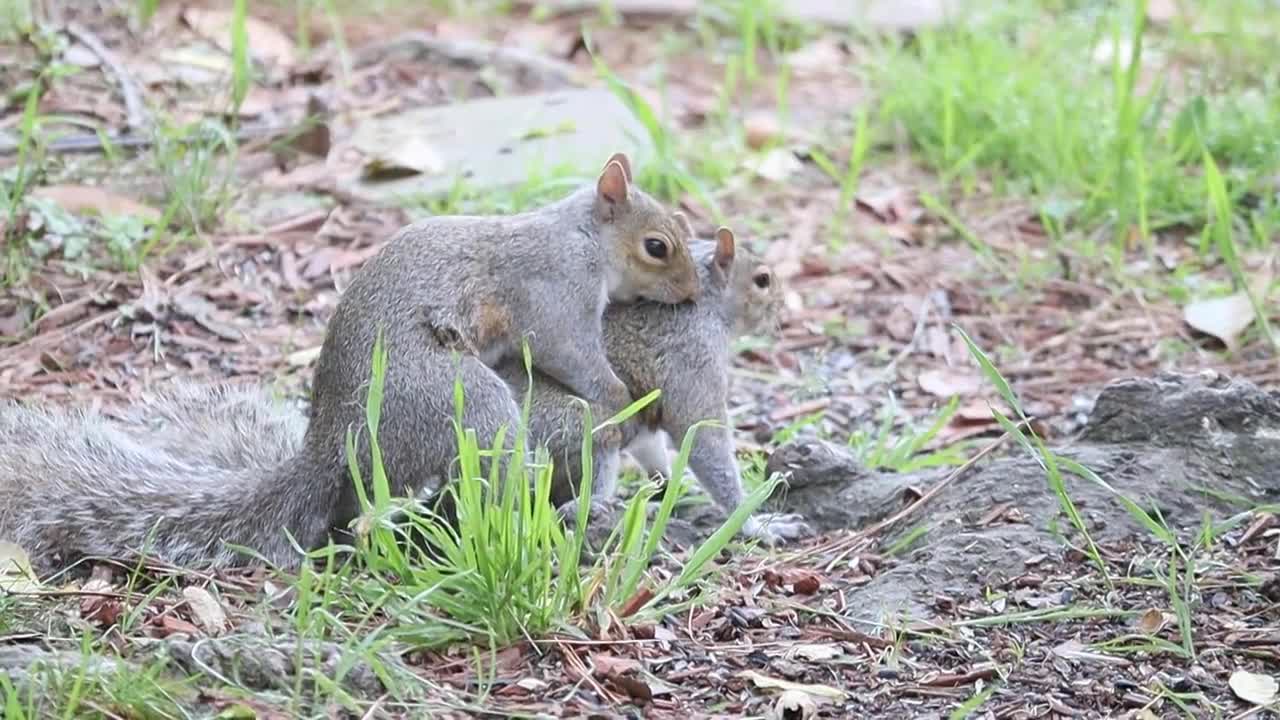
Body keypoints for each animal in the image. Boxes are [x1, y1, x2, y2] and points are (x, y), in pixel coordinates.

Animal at [0, 149, 701, 571]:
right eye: (658, 246)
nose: (694, 293)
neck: (582, 239)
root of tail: (336, 446)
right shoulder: (553, 293)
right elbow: (569, 354)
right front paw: (620, 400)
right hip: (462, 399)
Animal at [499, 224, 808, 543]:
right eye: (762, 280)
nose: (781, 306)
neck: (703, 307)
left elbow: (652, 446)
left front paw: (668, 485)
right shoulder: (692, 360)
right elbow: (703, 438)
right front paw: (755, 524)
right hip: (581, 428)